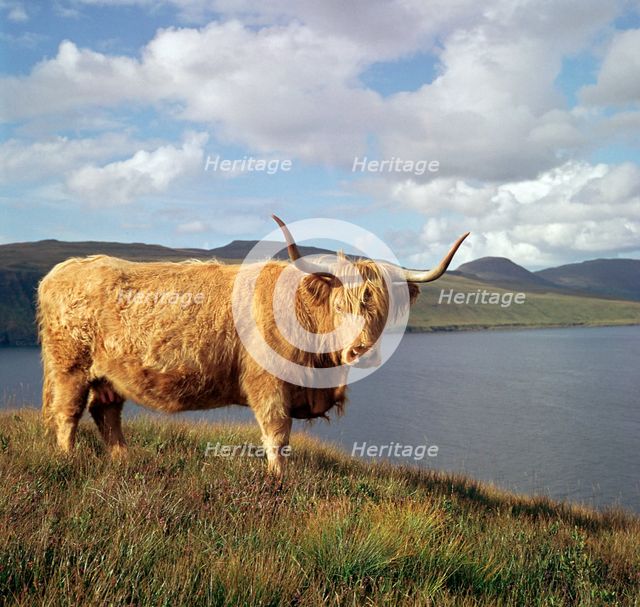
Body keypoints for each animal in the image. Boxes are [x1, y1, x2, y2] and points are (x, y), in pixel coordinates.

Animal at [37, 216, 469, 476]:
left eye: (380, 308)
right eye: (339, 305)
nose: (360, 351)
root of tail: (64, 269)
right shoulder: (269, 386)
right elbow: (277, 435)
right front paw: (278, 480)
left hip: (109, 375)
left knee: (106, 412)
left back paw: (124, 459)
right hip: (70, 366)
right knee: (67, 413)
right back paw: (67, 460)